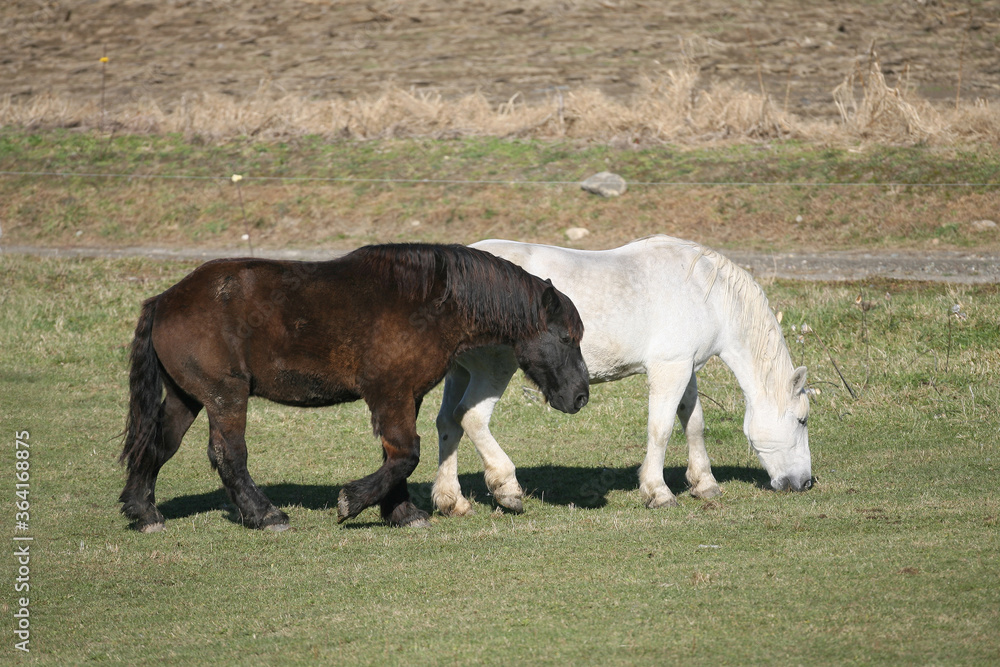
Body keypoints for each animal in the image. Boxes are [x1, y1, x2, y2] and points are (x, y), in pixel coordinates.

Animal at [119, 243, 589, 532]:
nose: (581, 396)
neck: (428, 303)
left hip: (187, 398)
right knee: (229, 456)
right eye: (567, 337)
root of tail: (166, 299)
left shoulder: (404, 397)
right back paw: (265, 514)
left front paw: (402, 512)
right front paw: (353, 502)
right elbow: (406, 454)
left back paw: (143, 511)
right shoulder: (390, 394)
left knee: (159, 444)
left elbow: (396, 455)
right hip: (225, 396)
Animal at [433, 235, 812, 517]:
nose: (805, 483)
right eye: (802, 420)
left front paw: (704, 483)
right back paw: (506, 488)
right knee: (471, 417)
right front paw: (658, 492)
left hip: (460, 373)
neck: (707, 291)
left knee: (448, 423)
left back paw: (452, 501)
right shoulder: (669, 368)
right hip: (494, 369)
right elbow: (661, 429)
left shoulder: (684, 367)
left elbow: (693, 423)